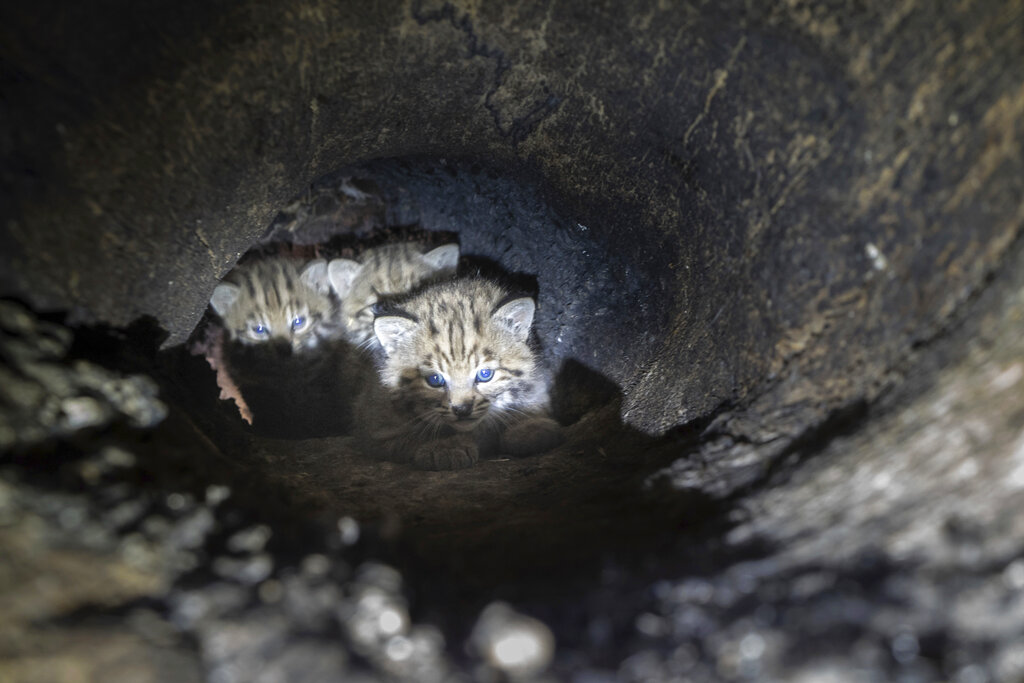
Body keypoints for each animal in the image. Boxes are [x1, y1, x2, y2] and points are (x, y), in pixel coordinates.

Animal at [352, 278, 561, 471]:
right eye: (434, 379)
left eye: (485, 374)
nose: (462, 409)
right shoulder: (375, 427)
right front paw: (445, 447)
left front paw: (530, 426)